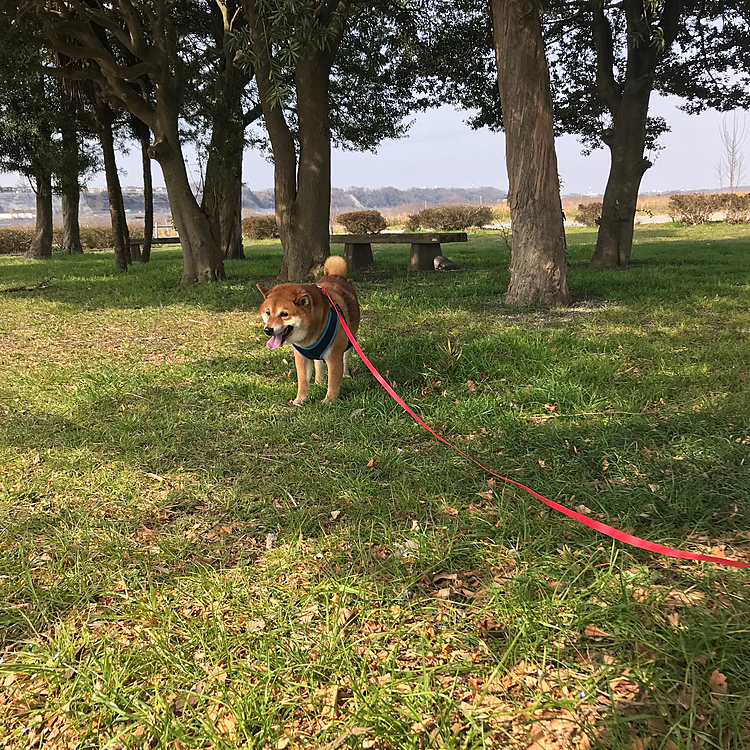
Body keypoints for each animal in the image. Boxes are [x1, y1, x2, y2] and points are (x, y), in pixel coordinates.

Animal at [258, 256, 362, 406]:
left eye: (284, 314)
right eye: (268, 312)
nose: (268, 330)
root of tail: (335, 275)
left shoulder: (334, 356)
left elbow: (333, 381)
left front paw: (329, 401)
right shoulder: (301, 357)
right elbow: (303, 381)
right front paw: (300, 400)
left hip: (349, 338)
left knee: (345, 357)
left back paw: (346, 374)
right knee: (318, 363)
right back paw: (318, 381)